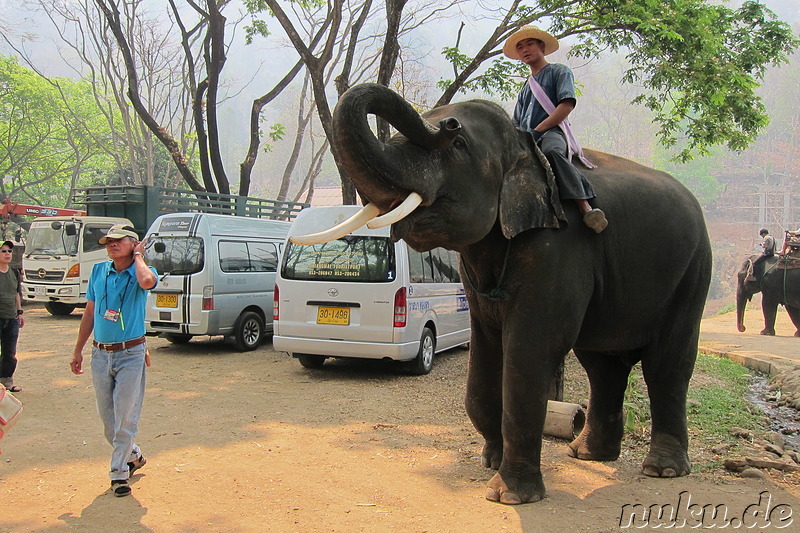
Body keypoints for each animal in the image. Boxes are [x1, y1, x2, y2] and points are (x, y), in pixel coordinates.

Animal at [296, 82, 712, 502]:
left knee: (667, 363)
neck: (521, 144)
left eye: (458, 142)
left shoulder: (558, 247)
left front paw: (509, 494)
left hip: (693, 270)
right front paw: (491, 462)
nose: (448, 123)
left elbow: (531, 350)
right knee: (602, 364)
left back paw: (662, 469)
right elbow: (484, 355)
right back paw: (587, 454)